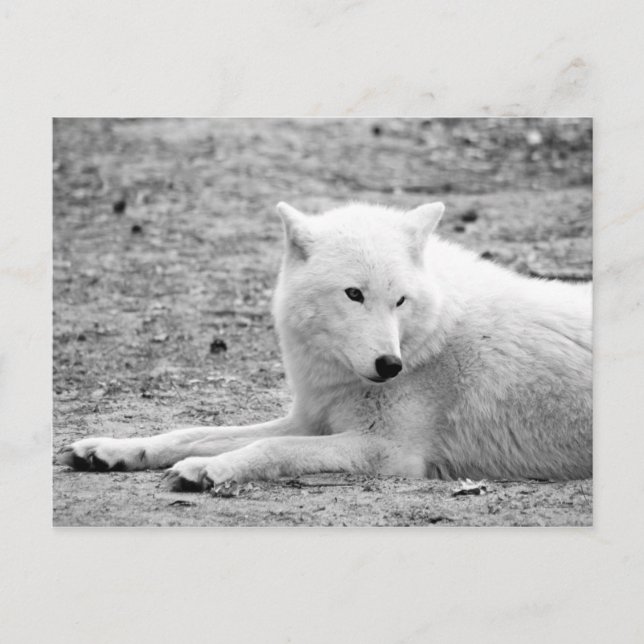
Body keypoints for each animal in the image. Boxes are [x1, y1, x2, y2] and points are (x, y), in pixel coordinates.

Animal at [58, 201, 592, 490]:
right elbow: (189, 431)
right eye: (354, 294)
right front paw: (111, 449)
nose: (390, 365)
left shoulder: (388, 452)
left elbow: (269, 447)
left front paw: (208, 469)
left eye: (400, 301)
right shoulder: (310, 420)